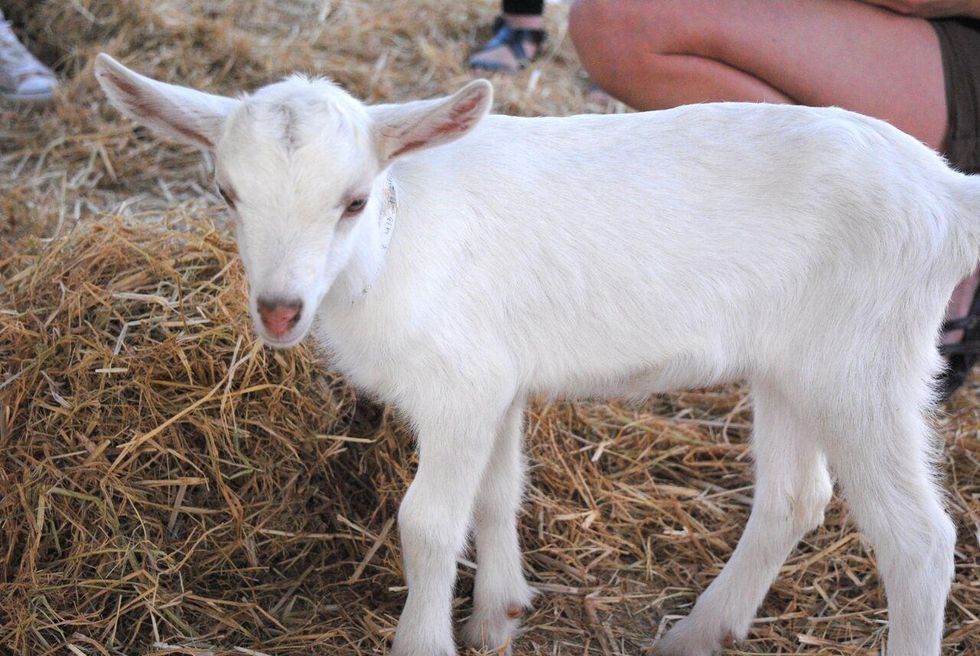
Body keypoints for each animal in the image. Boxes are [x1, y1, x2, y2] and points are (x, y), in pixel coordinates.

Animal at [94, 52, 976, 656]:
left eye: (353, 201)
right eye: (227, 194)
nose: (279, 310)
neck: (393, 248)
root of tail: (945, 192)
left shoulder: (459, 386)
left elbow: (427, 520)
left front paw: (425, 641)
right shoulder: (498, 382)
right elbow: (497, 492)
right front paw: (499, 614)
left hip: (863, 361)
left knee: (919, 540)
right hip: (794, 365)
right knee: (795, 496)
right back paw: (696, 632)